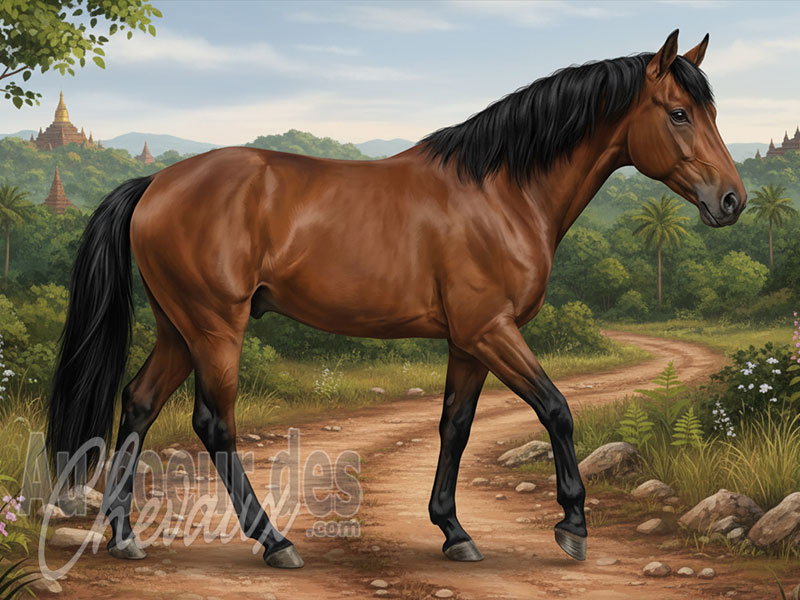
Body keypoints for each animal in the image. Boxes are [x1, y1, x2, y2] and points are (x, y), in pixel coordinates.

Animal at [47, 29, 745, 569]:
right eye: (678, 113)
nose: (731, 200)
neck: (500, 192)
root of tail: (155, 183)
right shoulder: (492, 330)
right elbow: (556, 408)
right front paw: (572, 526)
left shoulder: (469, 341)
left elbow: (455, 426)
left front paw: (454, 531)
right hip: (215, 328)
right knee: (215, 424)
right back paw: (275, 542)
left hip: (178, 328)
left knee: (138, 403)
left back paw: (126, 537)